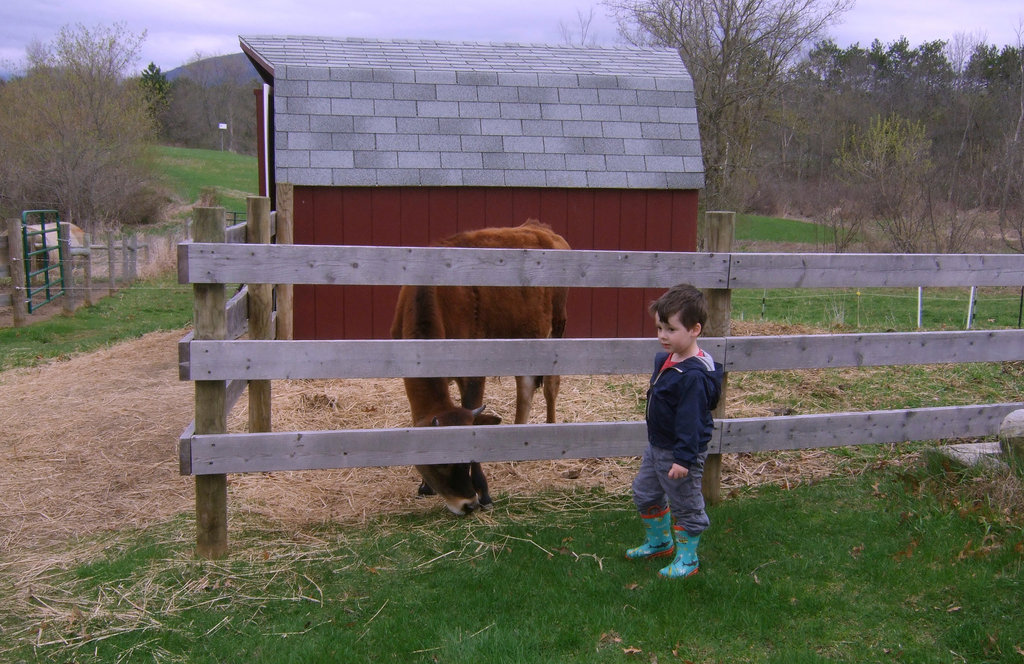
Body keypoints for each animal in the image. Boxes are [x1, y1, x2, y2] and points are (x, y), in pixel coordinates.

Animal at [389, 220, 573, 516]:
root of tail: (539, 227)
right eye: (440, 463)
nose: (467, 504)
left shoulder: (473, 371)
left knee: (550, 384)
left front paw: (484, 491)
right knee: (525, 385)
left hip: (557, 328)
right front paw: (425, 486)